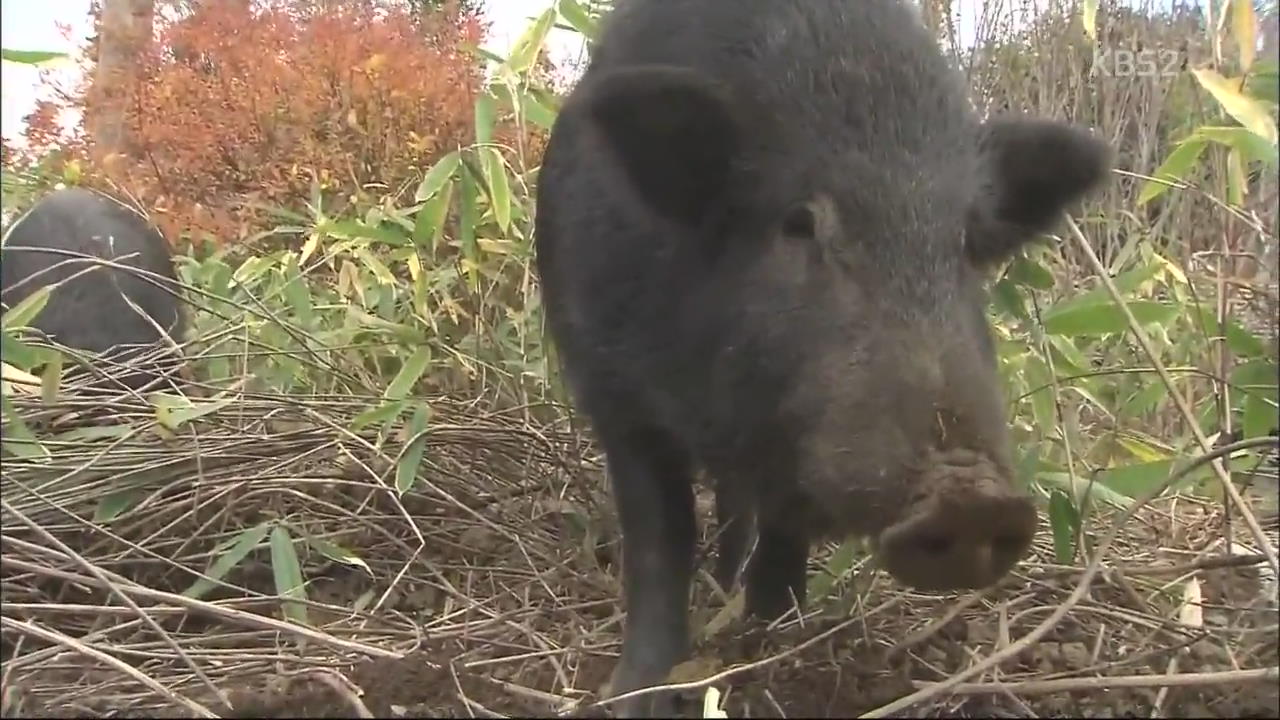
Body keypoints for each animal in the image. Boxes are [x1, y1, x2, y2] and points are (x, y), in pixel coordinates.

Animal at [529, 0, 1111, 712]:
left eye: (967, 242)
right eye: (799, 222)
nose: (971, 494)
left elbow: (782, 528)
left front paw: (773, 632)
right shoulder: (614, 389)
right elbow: (660, 538)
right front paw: (637, 694)